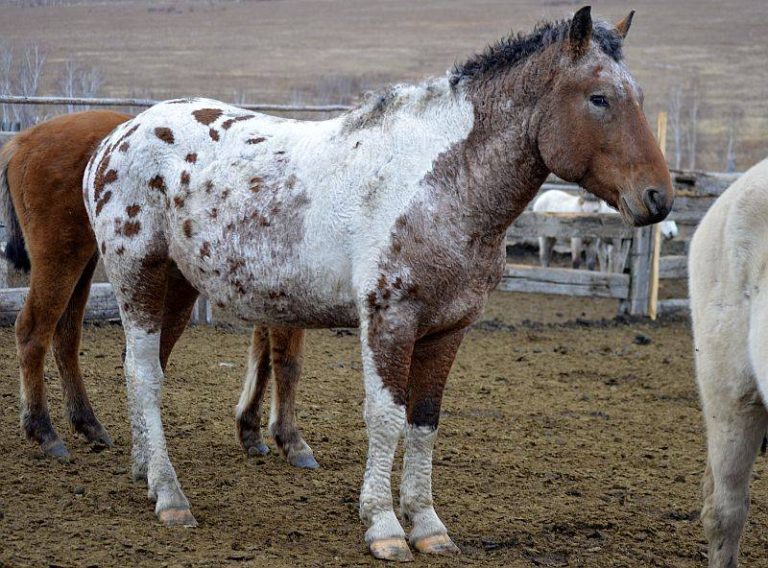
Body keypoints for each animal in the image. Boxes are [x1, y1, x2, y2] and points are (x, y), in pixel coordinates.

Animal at [84, 6, 672, 560]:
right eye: (598, 98)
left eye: (640, 97)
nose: (659, 198)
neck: (440, 184)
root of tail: (114, 140)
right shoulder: (389, 320)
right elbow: (386, 419)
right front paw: (385, 526)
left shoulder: (447, 330)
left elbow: (424, 422)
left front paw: (428, 526)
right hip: (138, 277)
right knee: (145, 376)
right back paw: (170, 496)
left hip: (177, 289)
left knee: (144, 368)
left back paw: (144, 471)